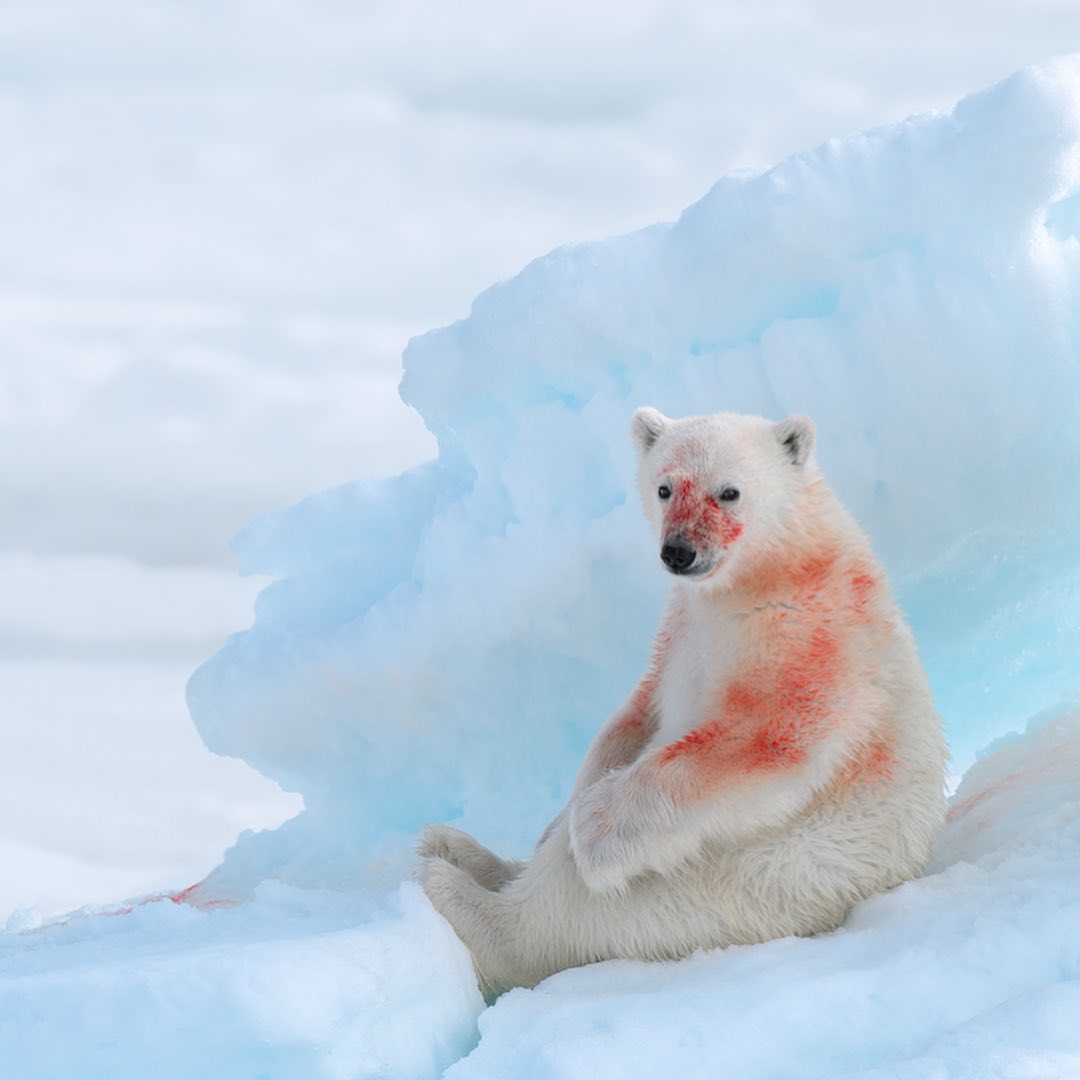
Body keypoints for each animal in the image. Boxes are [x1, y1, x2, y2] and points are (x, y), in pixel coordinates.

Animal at [421, 410, 946, 993]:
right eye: (665, 487)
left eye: (729, 492)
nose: (679, 551)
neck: (768, 572)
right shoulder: (680, 628)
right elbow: (636, 715)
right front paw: (563, 815)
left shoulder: (808, 637)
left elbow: (763, 740)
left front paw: (592, 829)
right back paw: (465, 849)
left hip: (733, 881)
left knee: (573, 912)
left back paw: (454, 885)